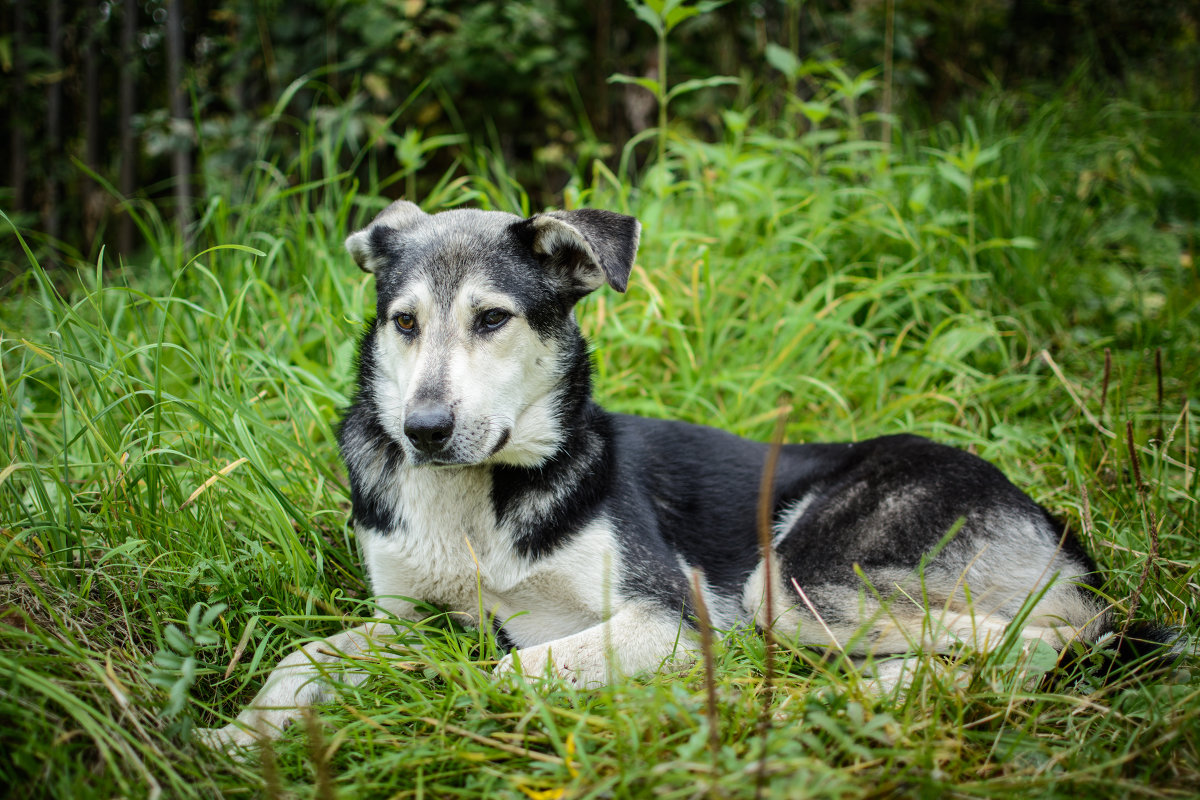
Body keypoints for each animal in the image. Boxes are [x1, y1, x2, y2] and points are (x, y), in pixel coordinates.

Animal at [201, 200, 1137, 753]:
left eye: (493, 319)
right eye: (404, 322)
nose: (422, 431)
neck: (479, 498)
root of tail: (1050, 523)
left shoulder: (669, 618)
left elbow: (509, 674)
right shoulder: (407, 617)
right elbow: (300, 657)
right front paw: (229, 741)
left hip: (794, 583)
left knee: (1048, 637)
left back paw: (854, 697)